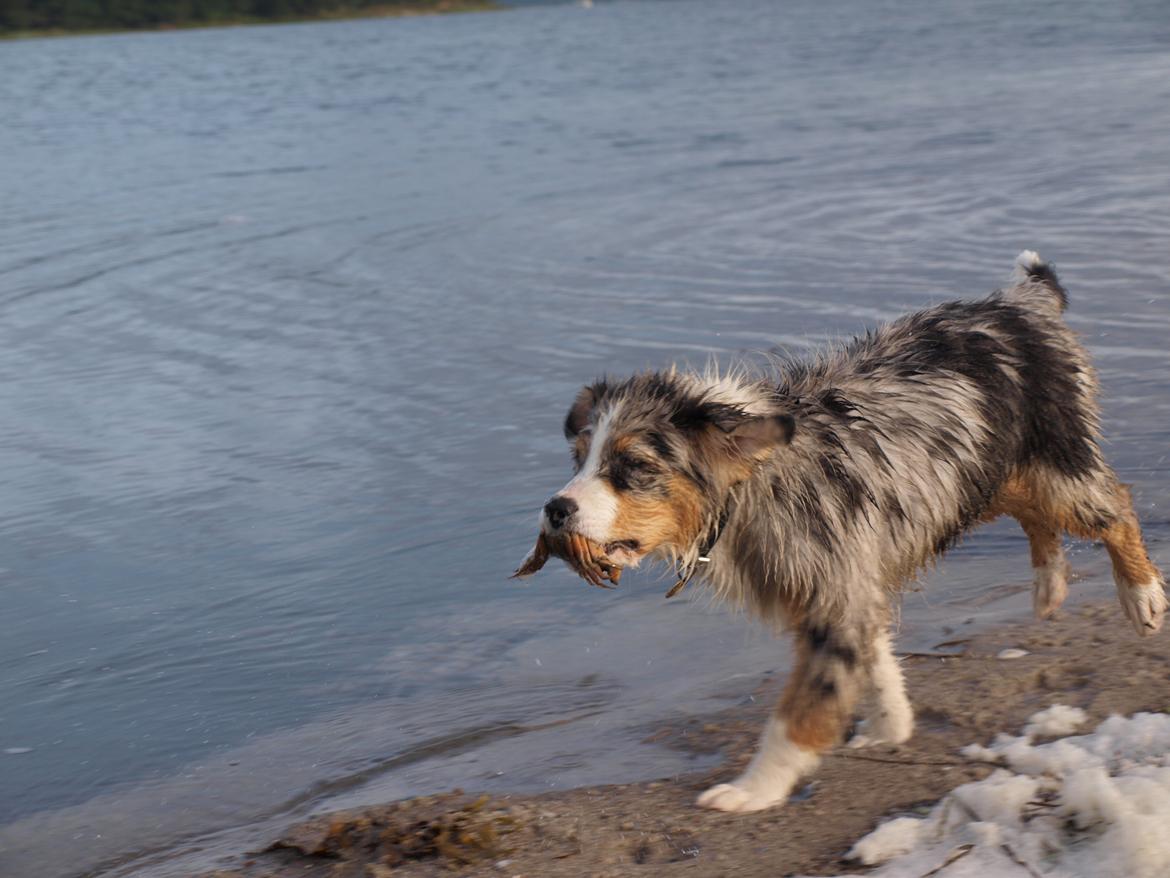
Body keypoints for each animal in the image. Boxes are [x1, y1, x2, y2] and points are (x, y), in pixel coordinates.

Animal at [526, 252, 1165, 810]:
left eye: (632, 466)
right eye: (579, 459)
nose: (555, 509)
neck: (754, 483)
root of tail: (1019, 303)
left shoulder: (834, 588)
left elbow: (803, 708)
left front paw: (754, 789)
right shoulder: (846, 584)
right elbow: (875, 658)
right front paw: (891, 724)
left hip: (1053, 466)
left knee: (1115, 505)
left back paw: (1141, 597)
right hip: (987, 473)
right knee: (1035, 515)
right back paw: (1049, 582)